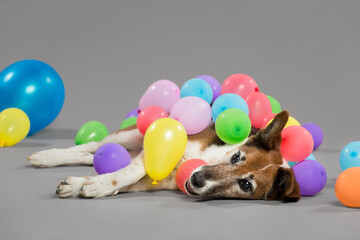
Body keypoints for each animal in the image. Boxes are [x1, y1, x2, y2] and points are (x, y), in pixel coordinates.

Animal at [26, 110, 300, 201]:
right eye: (236, 157)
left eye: (245, 185)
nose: (197, 179)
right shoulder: (156, 151)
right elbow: (130, 172)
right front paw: (99, 184)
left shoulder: (154, 182)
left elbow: (126, 180)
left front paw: (88, 185)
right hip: (130, 136)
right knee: (93, 145)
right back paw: (46, 157)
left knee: (89, 154)